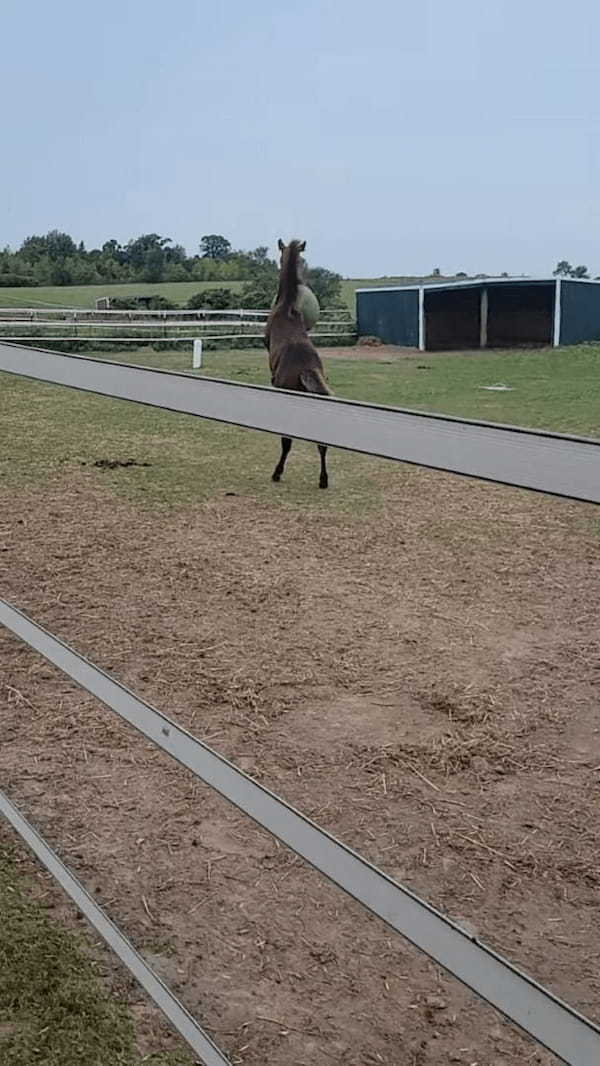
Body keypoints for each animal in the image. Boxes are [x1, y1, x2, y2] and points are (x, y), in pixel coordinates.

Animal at [266, 239, 332, 488]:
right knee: (321, 444)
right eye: (303, 261)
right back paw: (323, 480)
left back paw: (277, 473)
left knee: (287, 442)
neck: (287, 308)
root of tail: (306, 370)